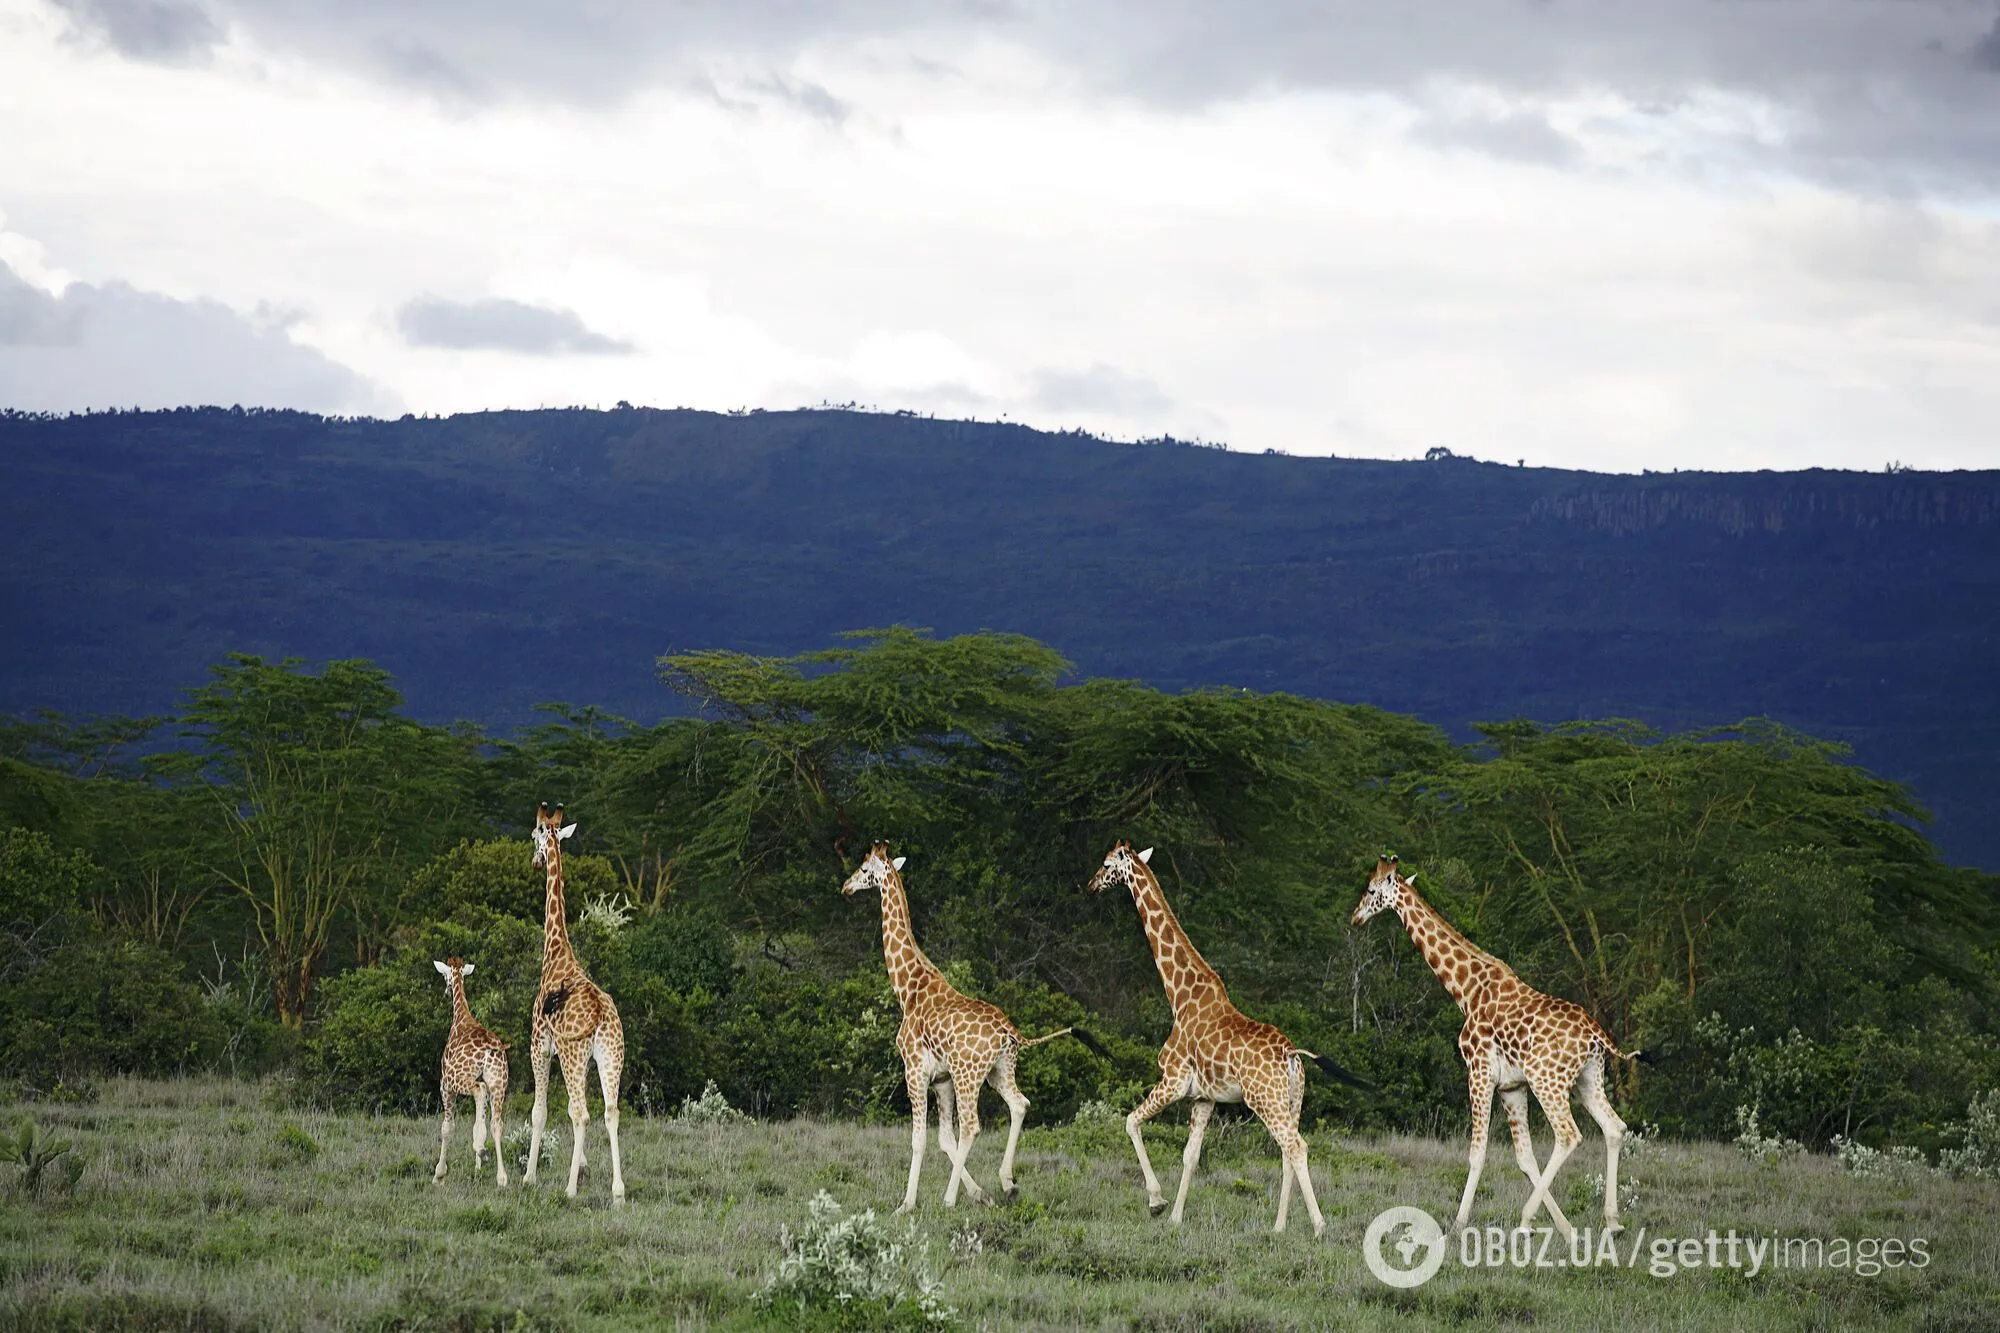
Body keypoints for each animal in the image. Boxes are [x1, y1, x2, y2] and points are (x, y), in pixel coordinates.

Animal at [432, 956, 512, 1184]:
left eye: (444, 976)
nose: (446, 992)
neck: (461, 1017)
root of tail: (491, 1049)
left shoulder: (445, 1085)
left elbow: (447, 1128)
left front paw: (439, 1175)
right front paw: (477, 1167)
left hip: (460, 1079)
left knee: (479, 1091)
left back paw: (480, 1147)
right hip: (498, 1083)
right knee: (497, 1123)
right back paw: (501, 1177)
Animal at [520, 804, 628, 1200]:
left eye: (534, 834)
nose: (535, 862)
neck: (556, 951)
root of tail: (599, 1014)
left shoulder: (539, 1044)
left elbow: (539, 1112)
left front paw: (530, 1177)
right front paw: (583, 1169)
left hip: (572, 1054)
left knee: (580, 1113)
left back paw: (568, 1191)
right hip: (609, 1056)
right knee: (610, 1112)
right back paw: (618, 1191)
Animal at [836, 844, 1104, 1208]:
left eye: (865, 869)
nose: (846, 887)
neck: (908, 988)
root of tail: (1011, 1033)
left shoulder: (915, 1070)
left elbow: (920, 1139)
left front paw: (906, 1204)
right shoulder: (942, 1080)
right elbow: (944, 1139)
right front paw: (980, 1194)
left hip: (969, 1074)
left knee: (973, 1125)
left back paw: (949, 1199)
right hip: (999, 1070)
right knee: (1019, 1105)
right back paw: (1007, 1184)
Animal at [1080, 836, 1376, 1232]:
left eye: (1108, 864)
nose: (1091, 884)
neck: (1180, 996)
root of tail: (1292, 1054)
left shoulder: (1172, 1080)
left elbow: (1130, 1122)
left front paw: (1157, 1203)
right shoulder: (1204, 1098)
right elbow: (1190, 1155)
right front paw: (1176, 1218)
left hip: (1264, 1099)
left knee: (1296, 1147)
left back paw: (1319, 1226)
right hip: (1292, 1100)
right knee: (1288, 1150)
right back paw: (1279, 1227)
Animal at [1352, 852, 1648, 1232]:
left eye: (1372, 889)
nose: (1355, 917)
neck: (1466, 991)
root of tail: (1597, 1035)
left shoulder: (1479, 1073)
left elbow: (1477, 1153)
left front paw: (1459, 1224)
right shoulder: (1511, 1086)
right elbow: (1524, 1158)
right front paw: (1565, 1228)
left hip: (1547, 1080)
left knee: (1569, 1135)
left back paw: (1526, 1217)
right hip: (1588, 1079)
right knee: (1614, 1127)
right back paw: (1612, 1222)